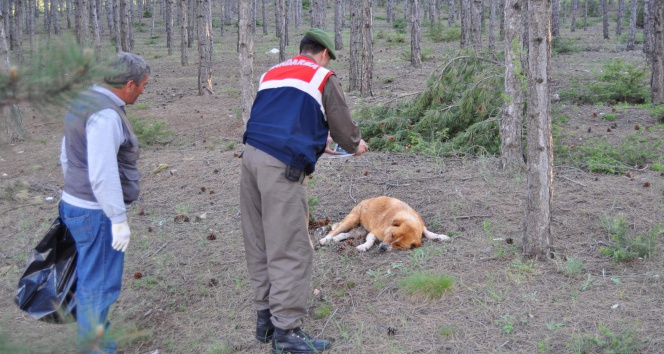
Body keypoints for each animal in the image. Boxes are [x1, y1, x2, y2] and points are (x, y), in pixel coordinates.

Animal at [320, 195, 448, 250]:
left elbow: (429, 233)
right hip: (352, 220)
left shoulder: (422, 227)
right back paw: (325, 240)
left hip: (359, 231)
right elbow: (370, 240)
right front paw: (364, 246)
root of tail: (365, 201)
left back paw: (336, 239)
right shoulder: (374, 232)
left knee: (344, 234)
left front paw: (441, 236)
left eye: (398, 245)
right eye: (392, 235)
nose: (382, 248)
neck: (409, 219)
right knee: (335, 231)